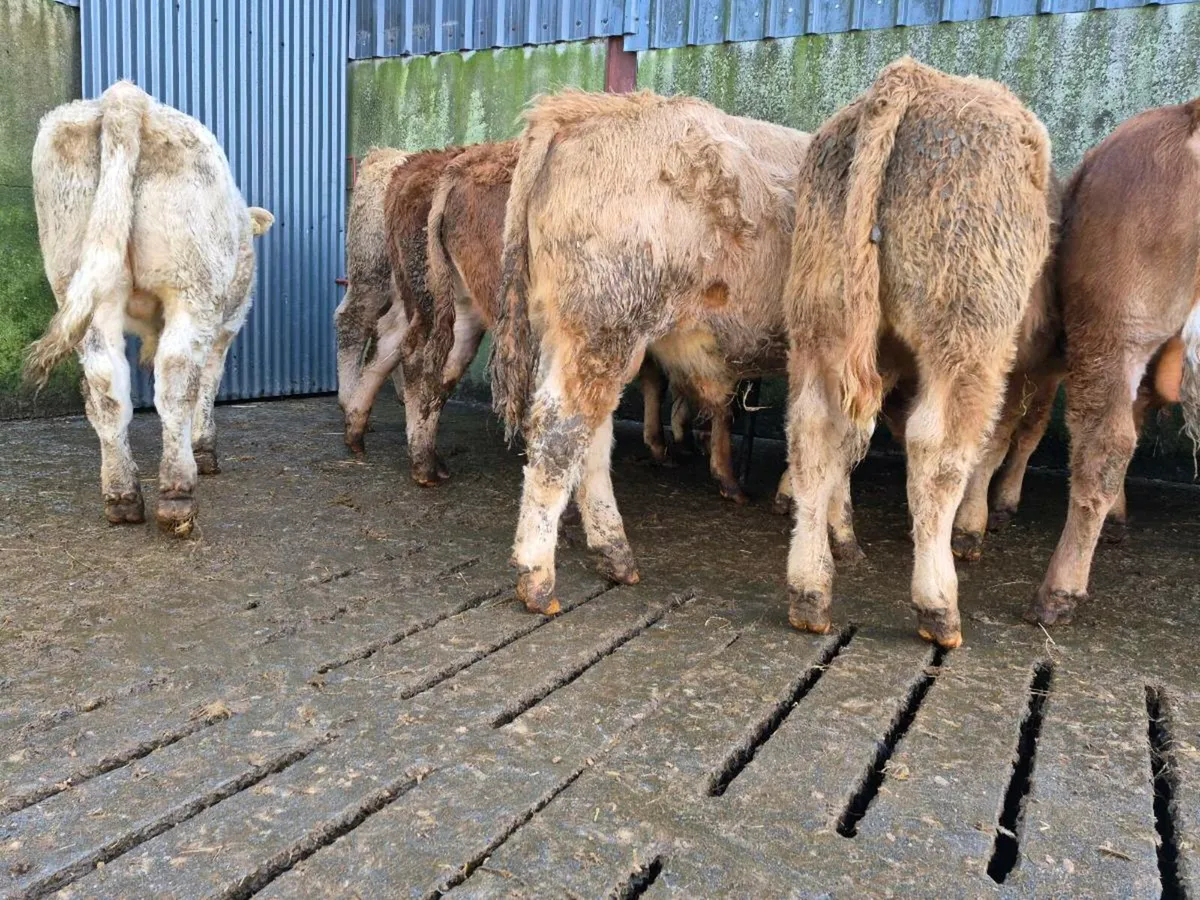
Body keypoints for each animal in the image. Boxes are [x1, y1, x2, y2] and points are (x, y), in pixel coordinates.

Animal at [25, 81, 274, 535]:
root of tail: (124, 97)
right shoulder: (226, 325)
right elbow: (207, 385)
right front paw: (204, 449)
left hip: (82, 287)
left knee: (106, 388)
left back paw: (122, 495)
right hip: (191, 286)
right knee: (176, 382)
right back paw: (177, 494)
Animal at [490, 90, 810, 615]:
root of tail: (578, 108)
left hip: (583, 338)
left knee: (591, 434)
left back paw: (614, 552)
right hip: (605, 329)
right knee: (560, 434)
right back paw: (538, 576)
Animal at [782, 58, 1052, 649]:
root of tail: (913, 78)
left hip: (820, 323)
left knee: (813, 432)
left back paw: (810, 591)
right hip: (967, 335)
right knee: (938, 450)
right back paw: (939, 606)